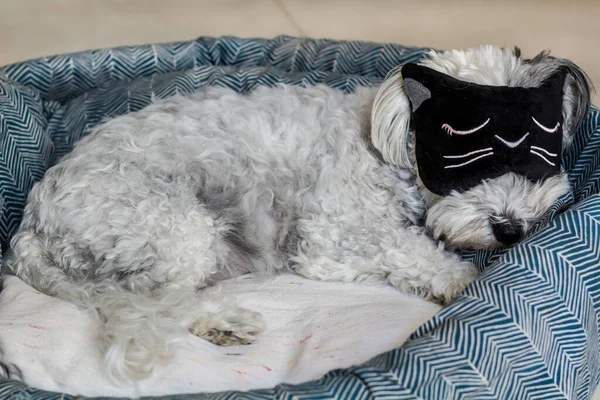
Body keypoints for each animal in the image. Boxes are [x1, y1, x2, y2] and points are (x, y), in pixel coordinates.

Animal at [7, 43, 592, 382]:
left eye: (538, 155)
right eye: (466, 154)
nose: (511, 229)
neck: (385, 146)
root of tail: (32, 226)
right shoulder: (332, 234)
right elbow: (409, 249)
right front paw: (457, 276)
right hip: (175, 226)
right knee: (156, 300)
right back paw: (224, 323)